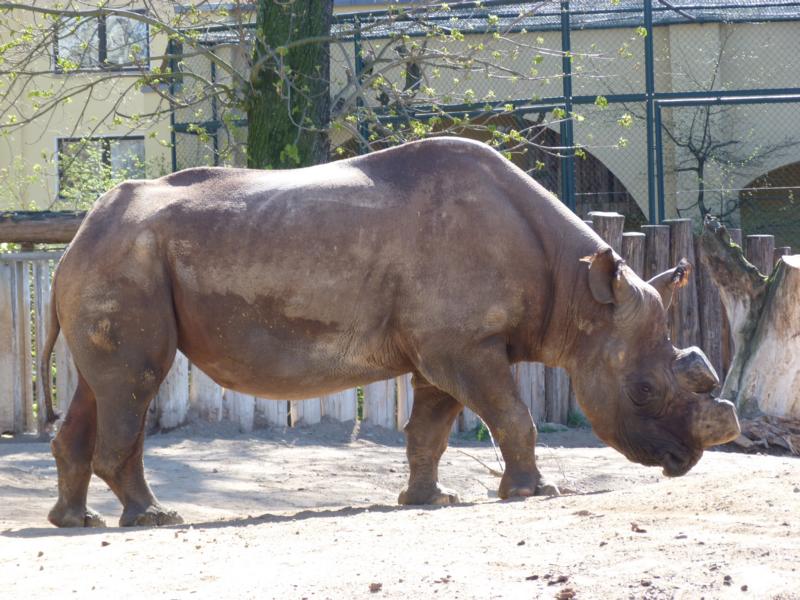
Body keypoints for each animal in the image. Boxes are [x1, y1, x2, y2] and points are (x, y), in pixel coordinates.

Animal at [41, 137, 740, 527]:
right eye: (644, 391)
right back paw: (153, 518)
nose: (684, 463)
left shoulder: (447, 347)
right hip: (127, 261)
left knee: (99, 388)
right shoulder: (461, 345)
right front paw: (534, 492)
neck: (580, 295)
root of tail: (76, 237)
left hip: (113, 259)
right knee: (135, 382)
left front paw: (430, 502)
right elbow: (513, 416)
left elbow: (430, 430)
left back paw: (75, 521)